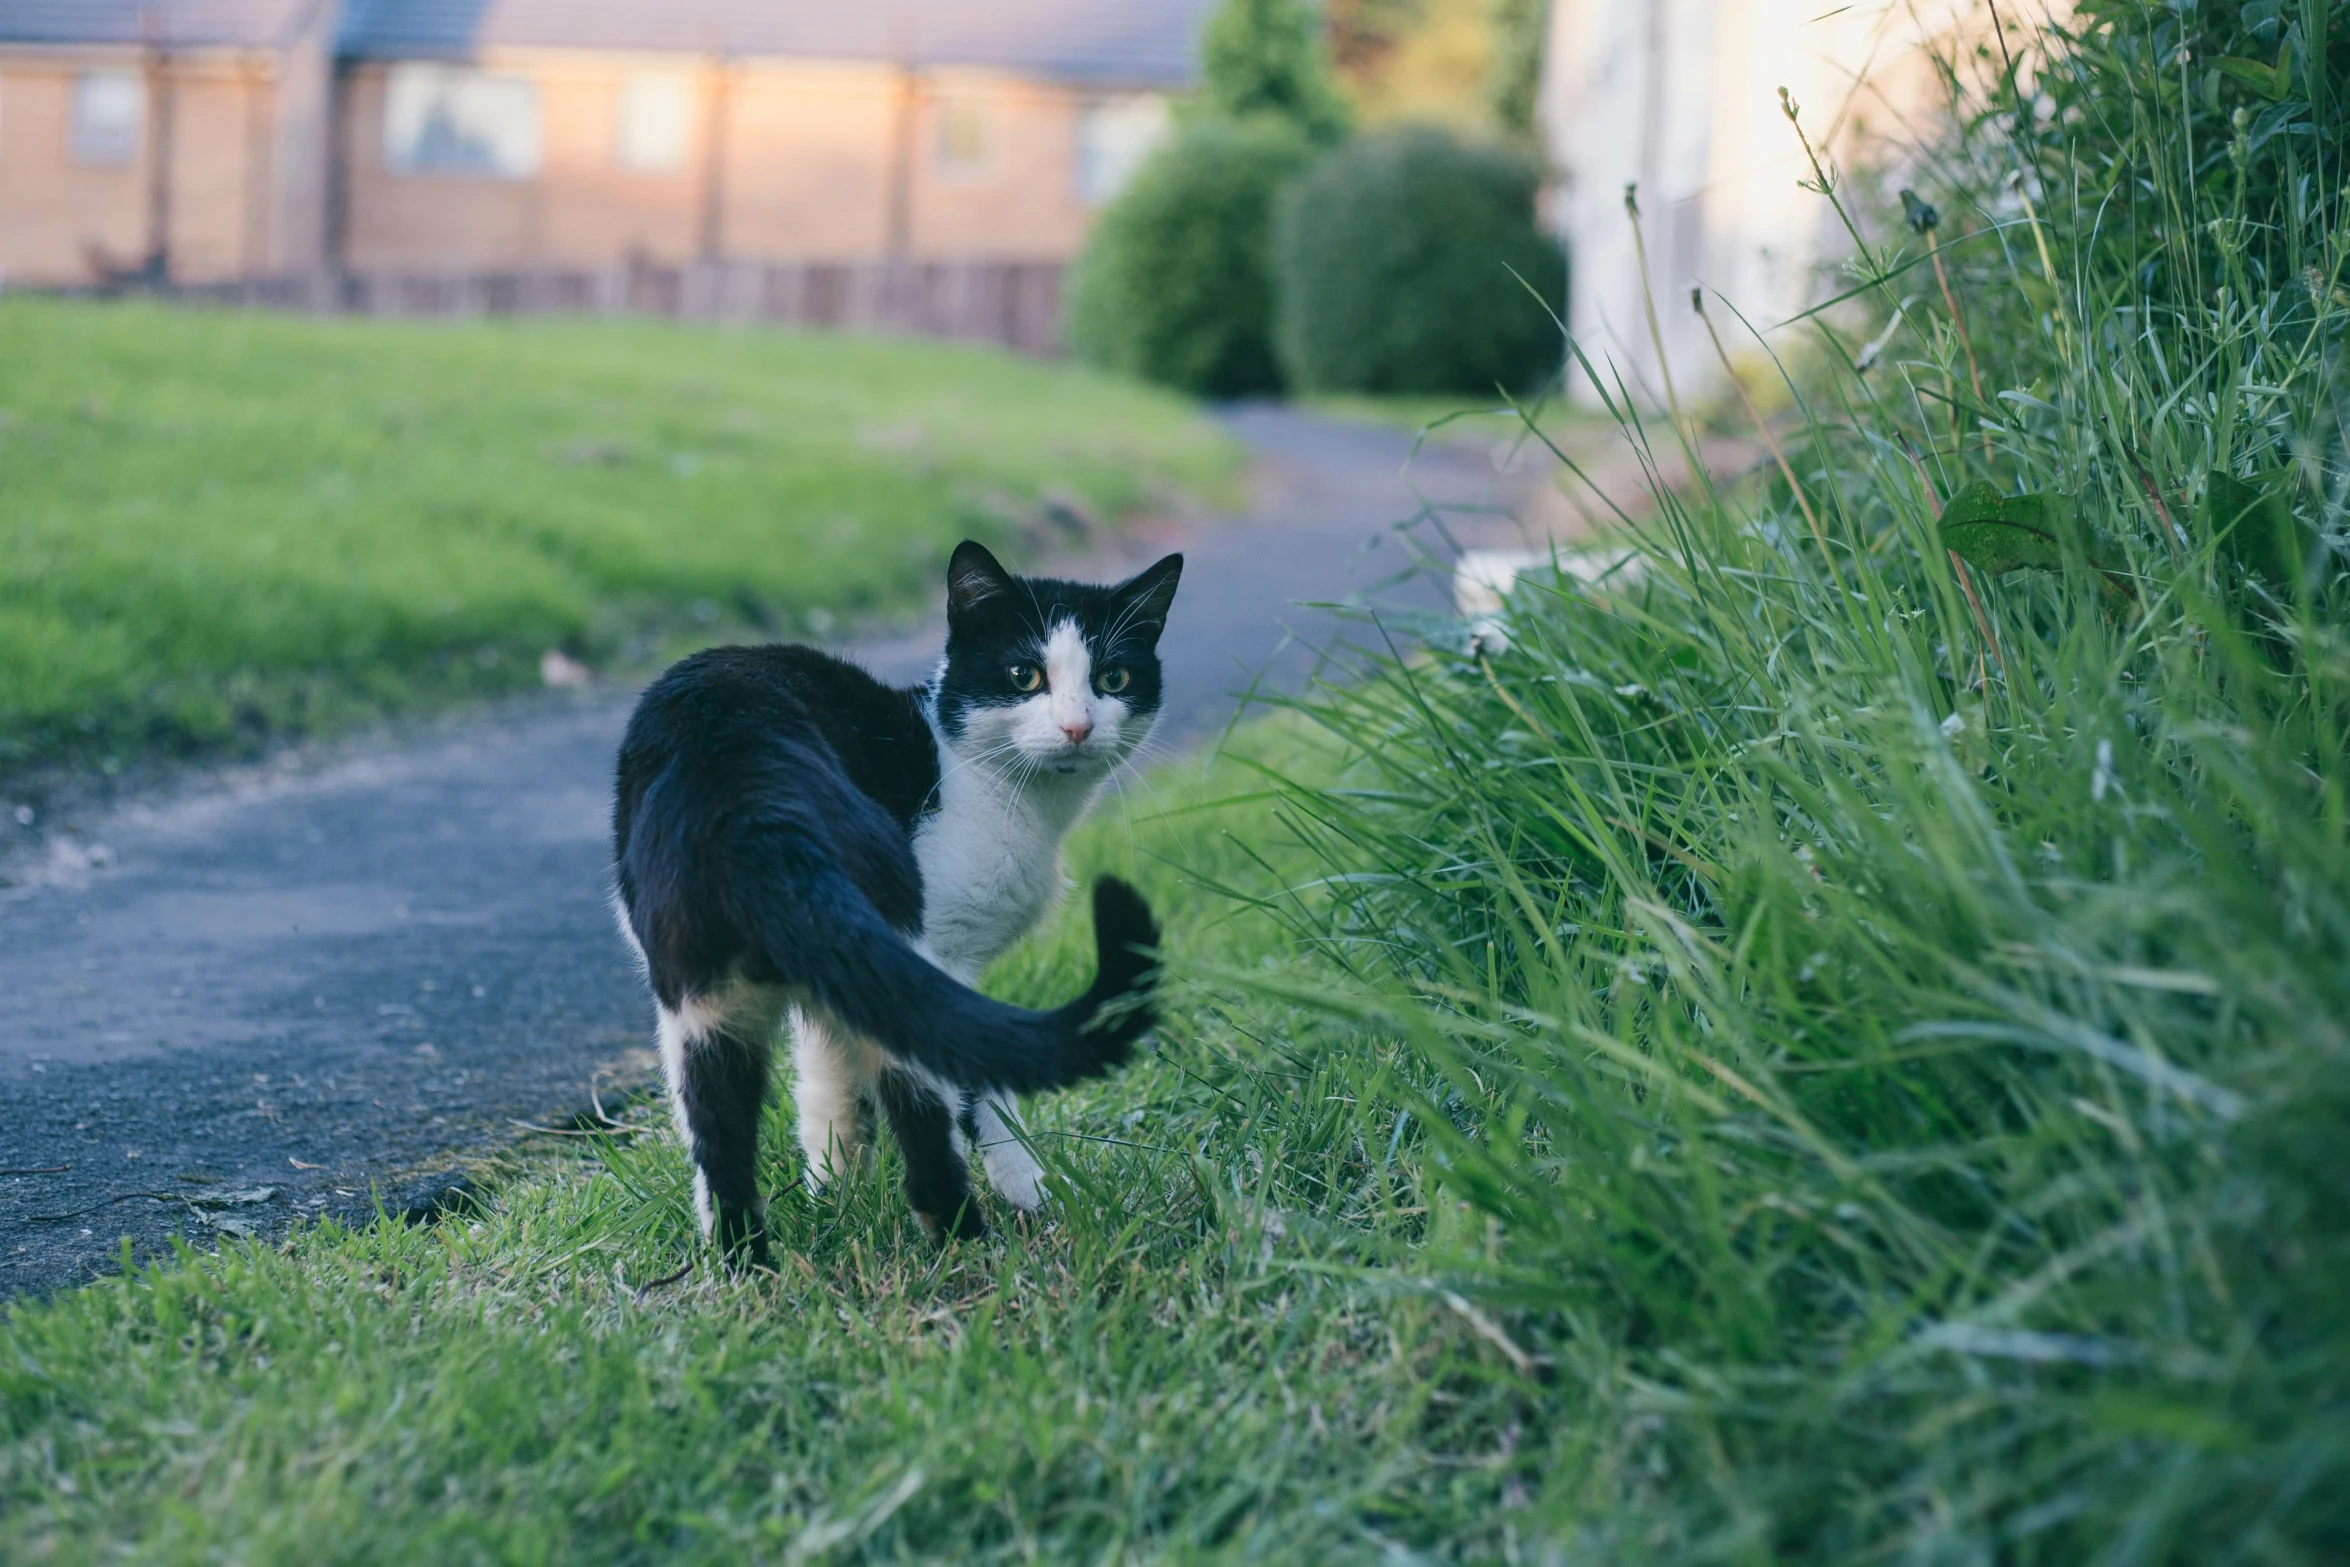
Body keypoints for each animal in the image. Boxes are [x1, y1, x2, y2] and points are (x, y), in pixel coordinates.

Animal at [615, 540, 1184, 1259]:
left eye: (1113, 678)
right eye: (1024, 675)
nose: (1078, 727)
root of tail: (747, 795)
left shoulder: (836, 987)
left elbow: (828, 1084)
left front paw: (835, 1193)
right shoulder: (943, 957)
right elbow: (981, 1097)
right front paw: (1034, 1195)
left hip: (701, 997)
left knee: (718, 1137)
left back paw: (749, 1266)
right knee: (926, 1111)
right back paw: (967, 1242)